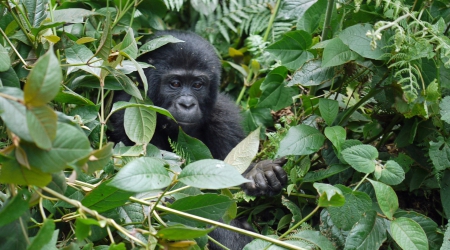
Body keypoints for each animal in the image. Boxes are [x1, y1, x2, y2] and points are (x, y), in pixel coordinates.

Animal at [107, 30, 286, 249]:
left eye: (198, 85)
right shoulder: (128, 112)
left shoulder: (225, 116)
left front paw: (259, 172)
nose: (187, 104)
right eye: (175, 84)